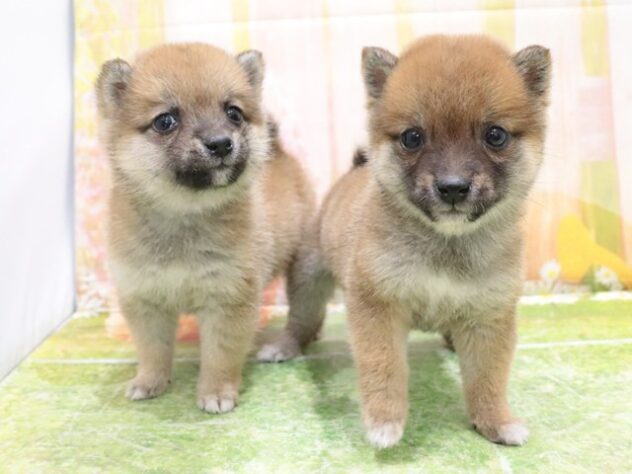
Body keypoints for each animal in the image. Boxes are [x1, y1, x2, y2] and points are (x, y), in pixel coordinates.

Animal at [96, 43, 315, 413]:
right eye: (165, 121)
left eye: (234, 113)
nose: (221, 143)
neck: (183, 215)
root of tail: (281, 153)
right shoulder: (145, 299)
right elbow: (153, 351)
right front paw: (150, 381)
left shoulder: (227, 300)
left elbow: (219, 356)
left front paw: (216, 392)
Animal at [259, 35, 551, 448]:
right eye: (413, 138)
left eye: (495, 135)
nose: (452, 186)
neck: (446, 243)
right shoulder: (378, 308)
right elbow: (385, 368)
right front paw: (385, 421)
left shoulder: (487, 316)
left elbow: (487, 378)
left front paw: (495, 421)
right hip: (309, 279)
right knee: (302, 321)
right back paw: (285, 345)